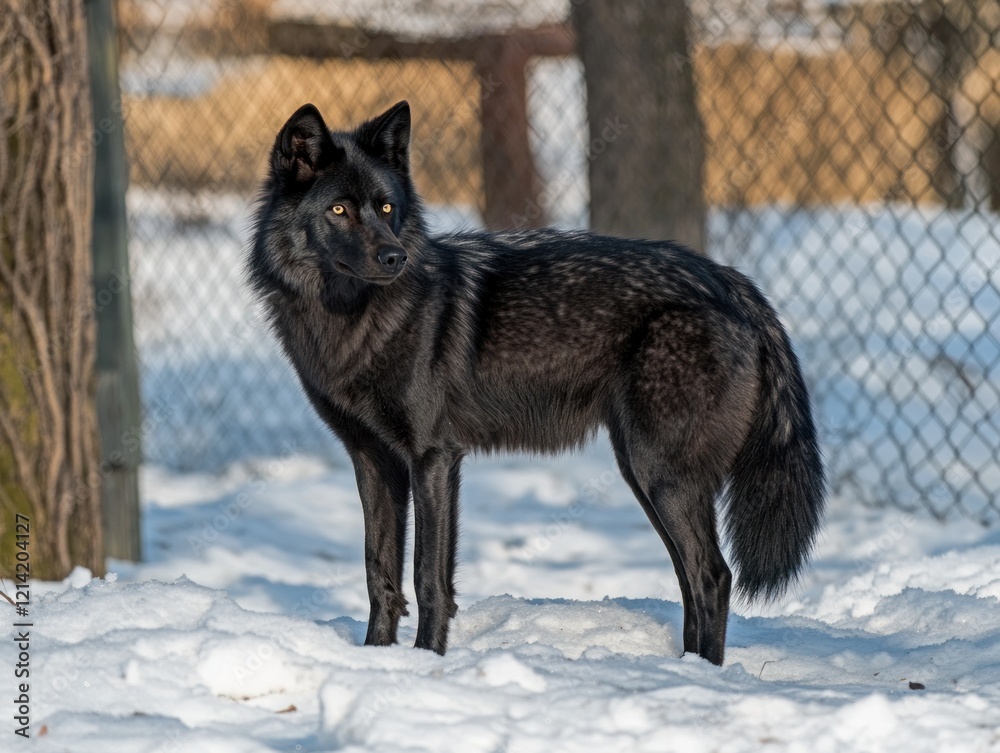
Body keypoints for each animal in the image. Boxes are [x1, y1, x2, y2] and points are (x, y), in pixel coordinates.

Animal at [247, 101, 825, 665]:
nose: (395, 257)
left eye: (387, 209)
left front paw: (426, 663)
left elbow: (428, 578)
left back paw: (703, 675)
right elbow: (379, 574)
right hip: (643, 472)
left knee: (712, 577)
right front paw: (377, 660)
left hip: (660, 473)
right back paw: (685, 667)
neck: (355, 318)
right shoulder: (373, 460)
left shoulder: (434, 457)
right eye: (339, 211)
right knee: (689, 578)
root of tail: (730, 280)